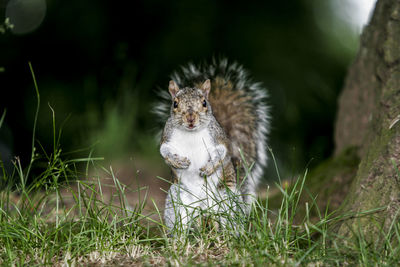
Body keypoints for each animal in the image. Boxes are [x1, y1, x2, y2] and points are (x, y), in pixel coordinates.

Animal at [156, 59, 268, 234]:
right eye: (175, 104)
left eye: (204, 103)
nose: (190, 118)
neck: (191, 133)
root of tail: (204, 210)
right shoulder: (167, 137)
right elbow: (163, 151)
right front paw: (176, 161)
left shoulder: (219, 138)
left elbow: (222, 152)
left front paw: (209, 168)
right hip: (177, 203)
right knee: (181, 224)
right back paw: (179, 238)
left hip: (227, 201)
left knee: (229, 223)